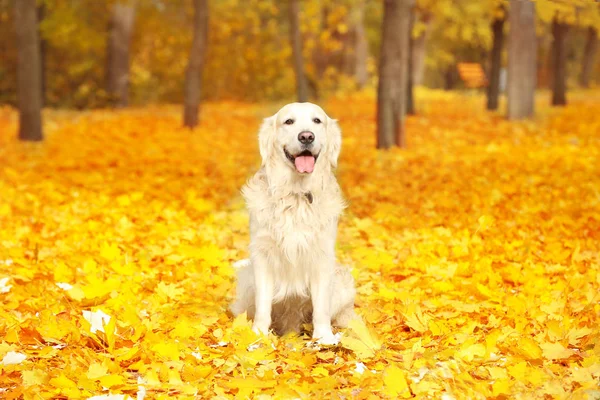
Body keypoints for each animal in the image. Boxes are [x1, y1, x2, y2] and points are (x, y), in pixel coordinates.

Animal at [230, 101, 356, 346]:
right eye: (288, 121)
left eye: (317, 121)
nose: (306, 136)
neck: (296, 194)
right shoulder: (262, 254)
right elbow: (263, 304)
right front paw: (259, 335)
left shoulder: (322, 256)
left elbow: (321, 307)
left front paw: (324, 337)